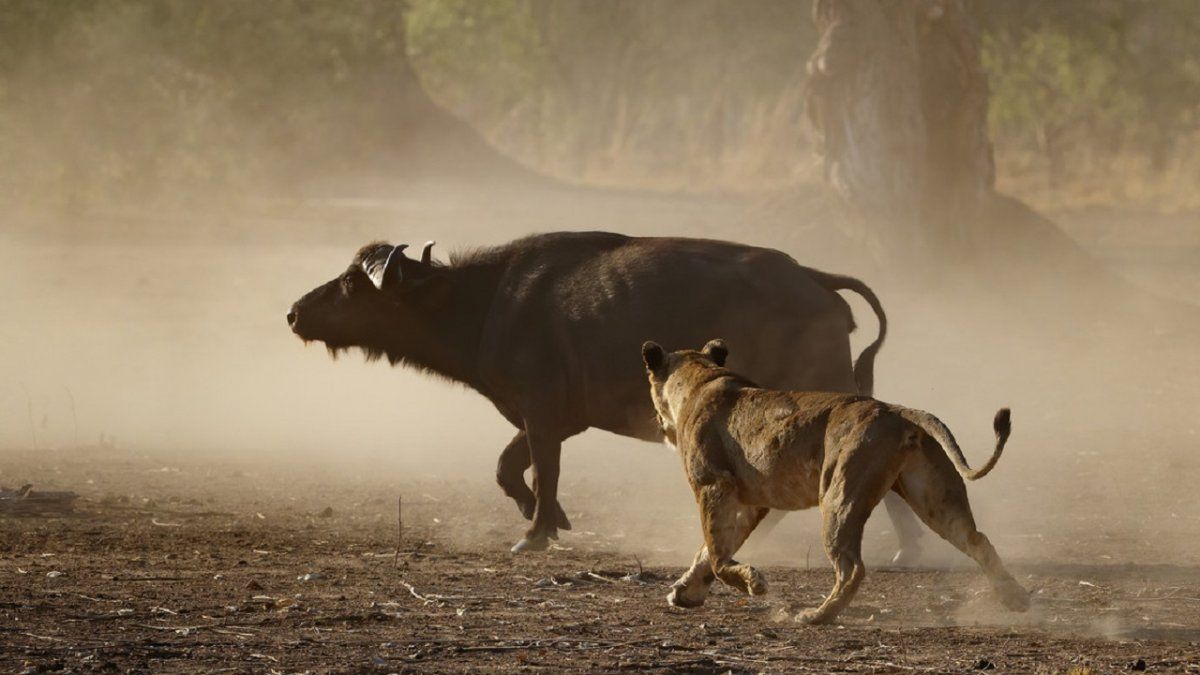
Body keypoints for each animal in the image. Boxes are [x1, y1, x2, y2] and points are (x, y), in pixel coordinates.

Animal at [641, 339, 1030, 625]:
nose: (656, 423)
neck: (701, 377)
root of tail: (896, 410)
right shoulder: (751, 502)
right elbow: (707, 551)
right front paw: (685, 592)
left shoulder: (713, 486)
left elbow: (717, 552)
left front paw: (752, 583)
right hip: (935, 497)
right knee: (977, 540)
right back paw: (1016, 599)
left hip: (839, 496)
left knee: (852, 568)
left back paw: (815, 615)